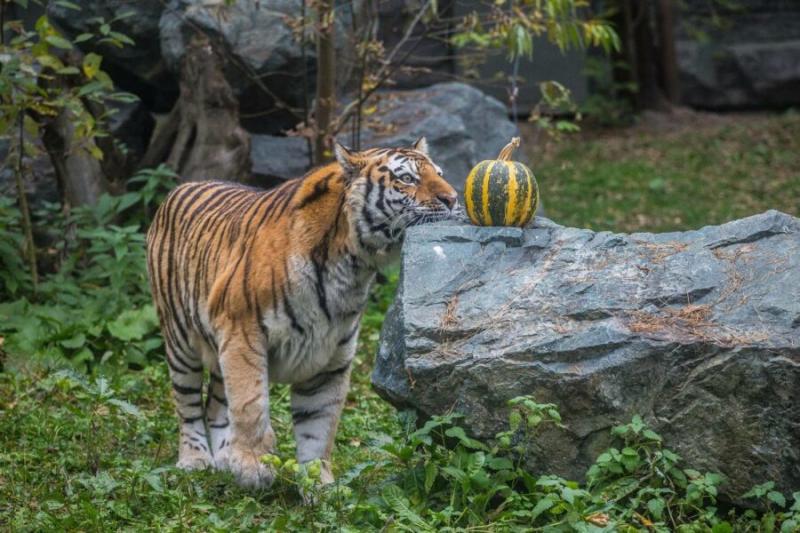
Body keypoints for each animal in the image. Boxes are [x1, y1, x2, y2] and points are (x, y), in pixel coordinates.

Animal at [144, 136, 456, 486]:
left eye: (439, 174)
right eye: (407, 179)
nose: (452, 199)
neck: (351, 266)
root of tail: (182, 186)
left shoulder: (331, 357)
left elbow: (318, 428)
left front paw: (319, 486)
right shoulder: (243, 333)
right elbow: (251, 405)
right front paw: (254, 468)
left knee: (217, 403)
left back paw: (225, 457)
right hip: (180, 341)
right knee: (187, 405)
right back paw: (195, 460)